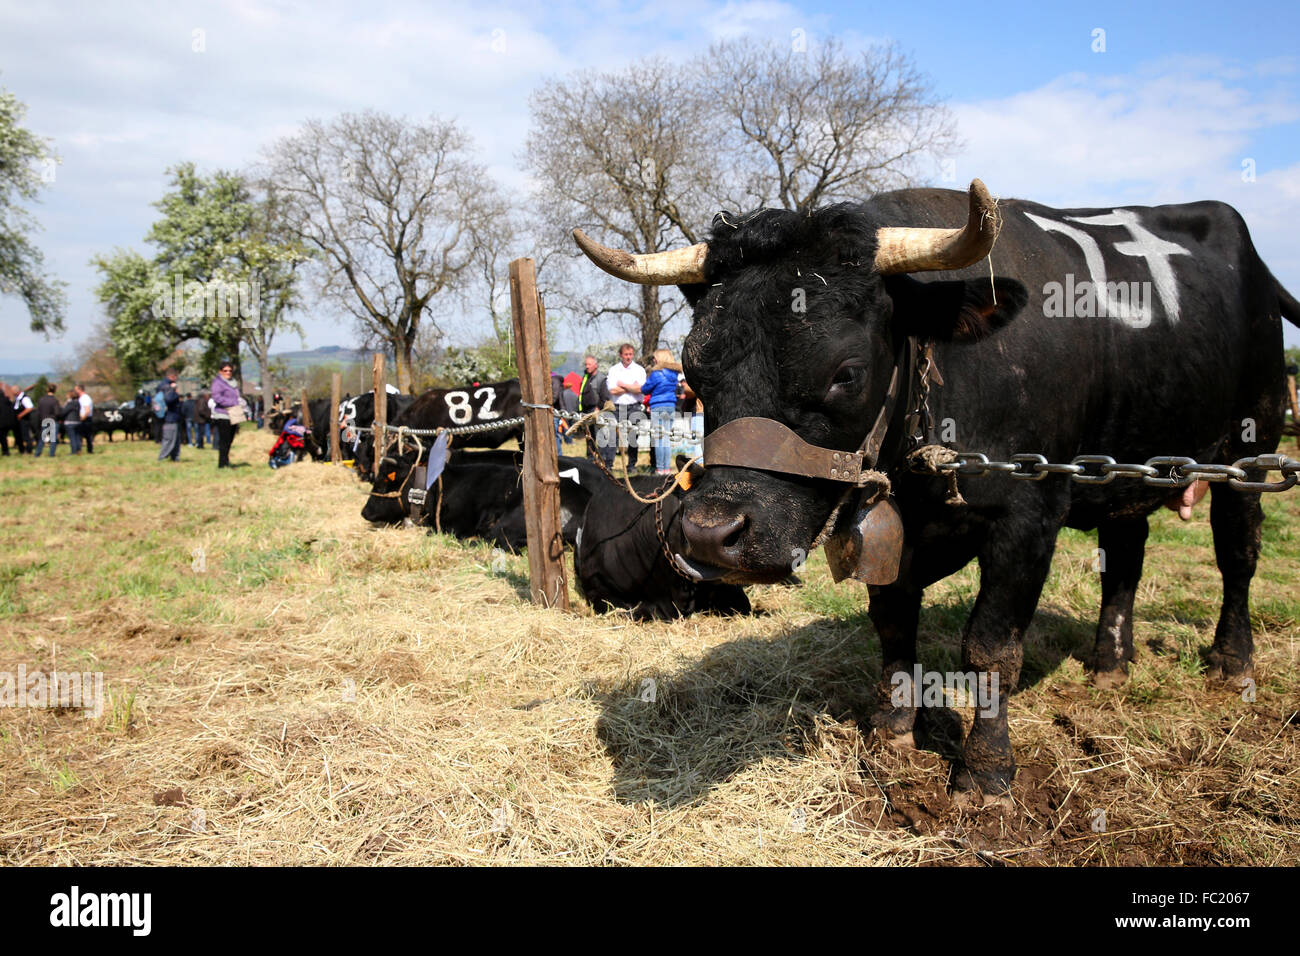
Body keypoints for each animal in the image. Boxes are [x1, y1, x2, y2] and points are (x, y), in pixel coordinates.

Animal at [579, 180, 1300, 806]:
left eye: (846, 373)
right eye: (695, 370)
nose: (709, 534)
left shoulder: (1029, 513)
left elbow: (991, 646)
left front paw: (984, 771)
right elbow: (895, 623)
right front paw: (893, 731)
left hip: (1254, 444)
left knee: (1238, 554)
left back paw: (1233, 662)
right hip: (1127, 461)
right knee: (1126, 554)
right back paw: (1110, 663)